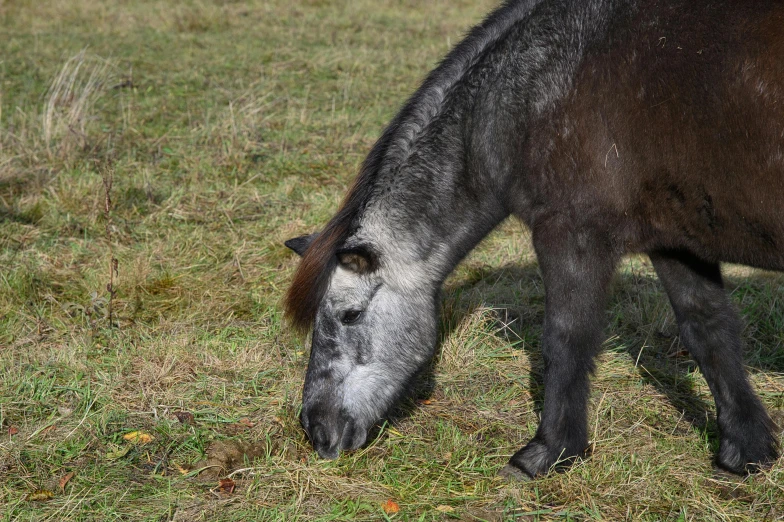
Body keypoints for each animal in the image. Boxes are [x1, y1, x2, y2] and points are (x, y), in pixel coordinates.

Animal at [284, 0, 780, 476]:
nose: (316, 429)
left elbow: (565, 338)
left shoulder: (572, 235)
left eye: (349, 315)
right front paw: (745, 452)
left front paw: (548, 452)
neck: (531, 90)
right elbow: (708, 331)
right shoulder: (675, 241)